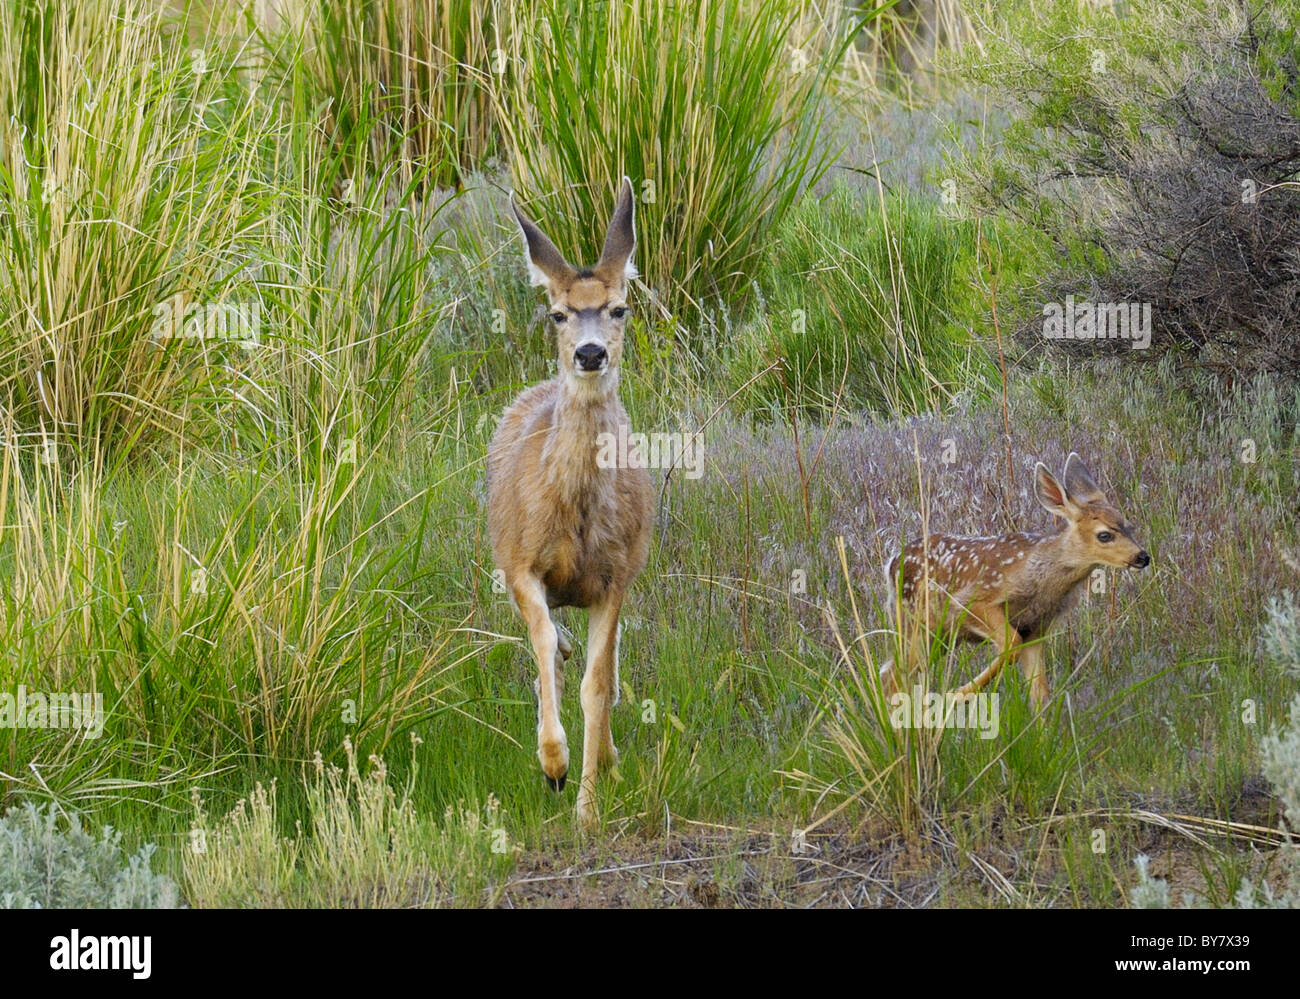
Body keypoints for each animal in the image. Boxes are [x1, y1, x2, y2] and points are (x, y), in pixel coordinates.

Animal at [486, 177, 654, 827]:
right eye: (557, 313)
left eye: (619, 307)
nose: (588, 354)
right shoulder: (520, 563)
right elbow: (543, 657)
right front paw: (553, 765)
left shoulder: (615, 577)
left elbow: (596, 686)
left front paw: (586, 807)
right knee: (555, 652)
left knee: (603, 668)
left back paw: (608, 759)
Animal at [882, 453, 1149, 710]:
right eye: (1104, 535)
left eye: (1129, 526)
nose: (1142, 557)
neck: (1042, 584)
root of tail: (891, 563)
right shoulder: (973, 602)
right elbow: (1011, 646)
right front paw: (958, 694)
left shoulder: (1035, 629)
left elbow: (1040, 694)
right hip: (917, 624)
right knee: (892, 676)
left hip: (941, 637)